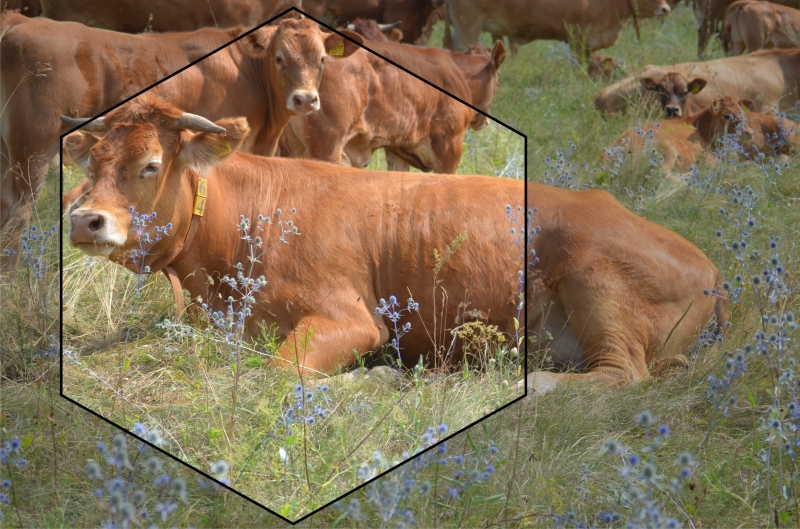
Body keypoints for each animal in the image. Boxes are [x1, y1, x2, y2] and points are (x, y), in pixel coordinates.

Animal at [1, 15, 363, 272]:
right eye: (279, 58)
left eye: (322, 60)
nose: (305, 99)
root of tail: (21, 22)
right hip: (33, 150)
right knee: (19, 210)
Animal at [64, 96, 726, 392]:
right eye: (90, 162)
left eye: (151, 165)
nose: (84, 220)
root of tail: (711, 267)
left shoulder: (349, 319)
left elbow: (279, 374)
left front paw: (377, 379)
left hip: (595, 278)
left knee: (620, 374)